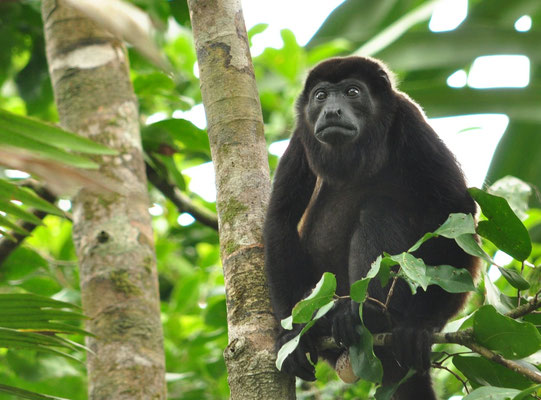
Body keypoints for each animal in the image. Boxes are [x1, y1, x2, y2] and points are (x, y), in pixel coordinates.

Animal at [264, 57, 478, 400]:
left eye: (352, 92)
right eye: (321, 96)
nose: (332, 111)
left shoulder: (410, 121)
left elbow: (455, 210)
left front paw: (422, 324)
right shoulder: (300, 137)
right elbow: (281, 218)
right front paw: (292, 334)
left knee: (379, 208)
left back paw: (369, 315)